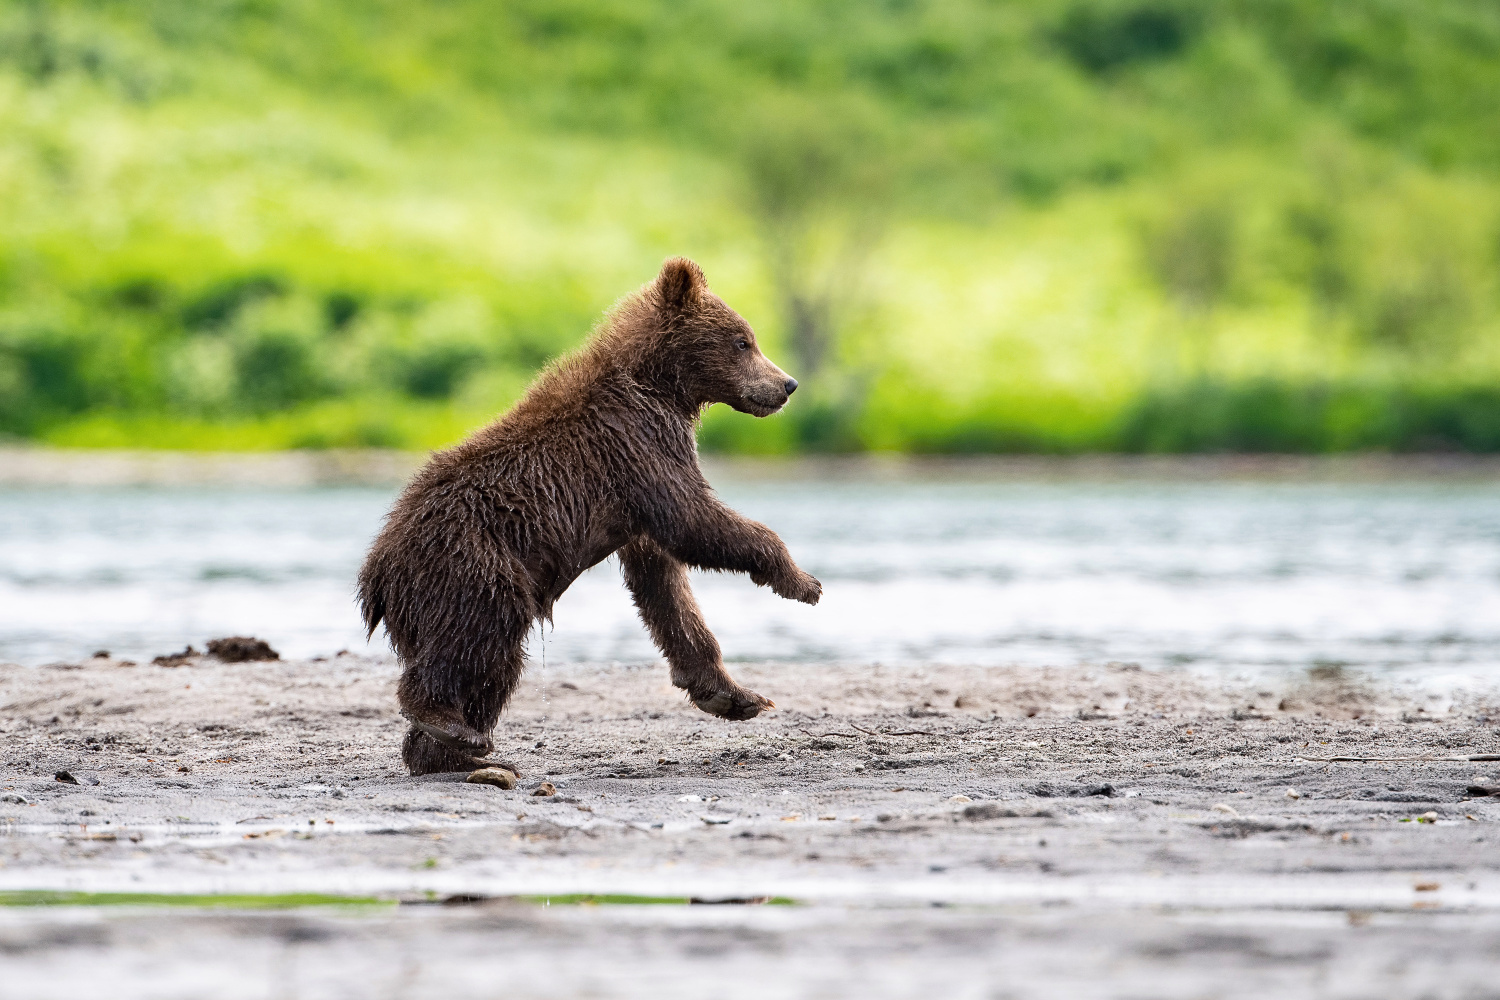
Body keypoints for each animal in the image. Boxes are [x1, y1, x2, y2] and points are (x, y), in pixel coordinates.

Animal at [358, 256, 828, 773]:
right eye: (743, 341)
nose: (787, 384)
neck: (661, 386)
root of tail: (377, 572)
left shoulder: (636, 492)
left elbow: (665, 584)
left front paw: (734, 694)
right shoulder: (638, 443)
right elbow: (693, 520)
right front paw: (801, 582)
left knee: (494, 664)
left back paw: (462, 753)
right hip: (469, 559)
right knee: (483, 630)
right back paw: (444, 721)